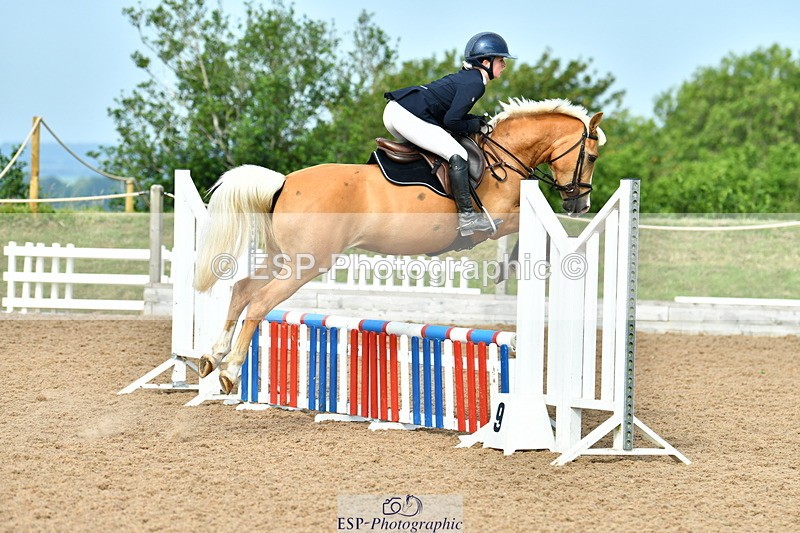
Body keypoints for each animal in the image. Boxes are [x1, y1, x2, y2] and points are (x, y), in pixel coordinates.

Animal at [193, 97, 606, 394]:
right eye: (592, 156)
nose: (581, 205)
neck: (502, 157)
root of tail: (283, 182)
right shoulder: (496, 221)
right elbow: (534, 225)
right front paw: (515, 264)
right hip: (305, 265)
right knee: (260, 302)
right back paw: (231, 370)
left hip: (285, 257)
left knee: (242, 289)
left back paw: (213, 356)